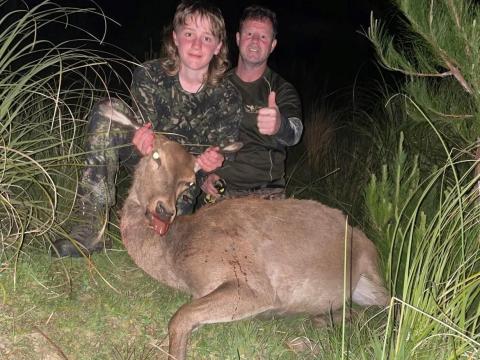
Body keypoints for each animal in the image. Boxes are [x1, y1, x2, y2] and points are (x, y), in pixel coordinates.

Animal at [99, 100, 388, 360]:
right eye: (155, 157)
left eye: (189, 181)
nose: (164, 210)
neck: (177, 258)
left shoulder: (253, 283)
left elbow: (179, 317)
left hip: (370, 265)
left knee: (389, 305)